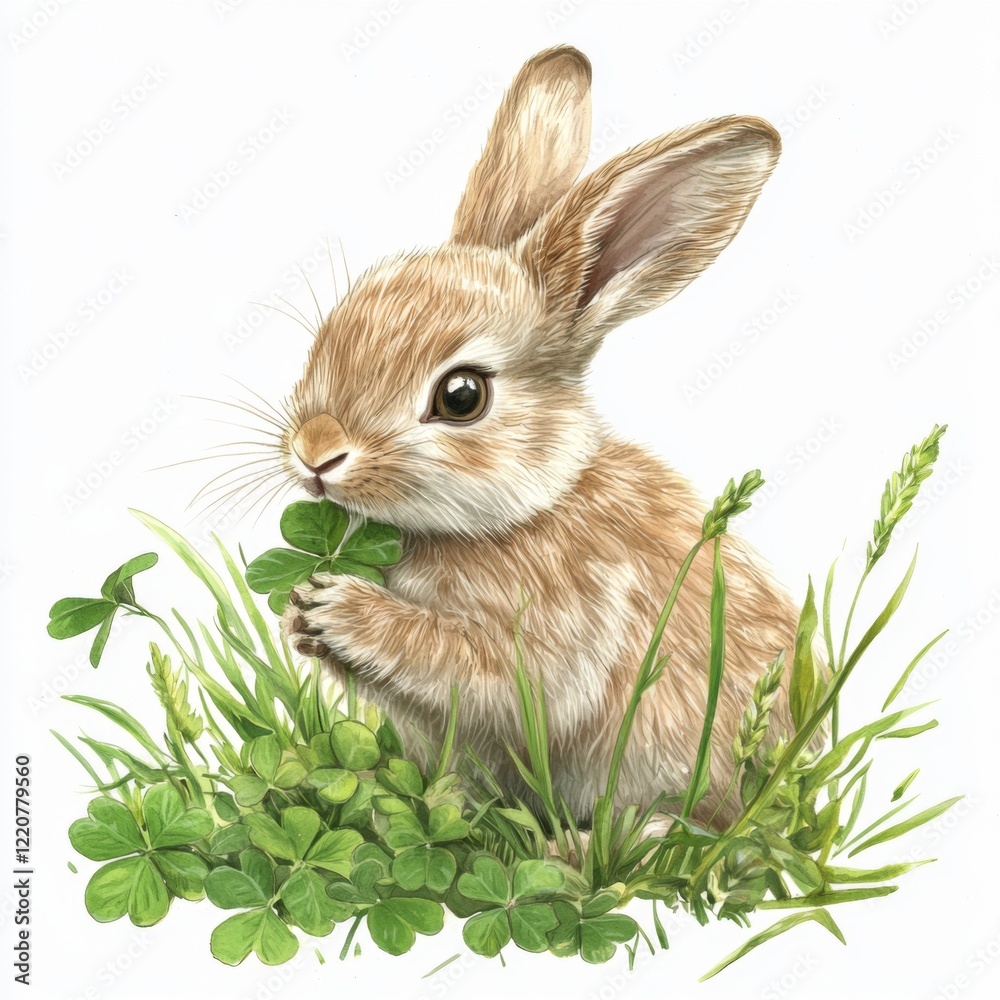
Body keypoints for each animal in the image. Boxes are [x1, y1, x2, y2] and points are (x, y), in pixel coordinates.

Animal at [278, 45, 806, 830]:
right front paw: (300, 616)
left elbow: (475, 664)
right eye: (329, 333)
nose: (316, 452)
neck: (525, 510)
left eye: (462, 396)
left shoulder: (559, 635)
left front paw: (343, 610)